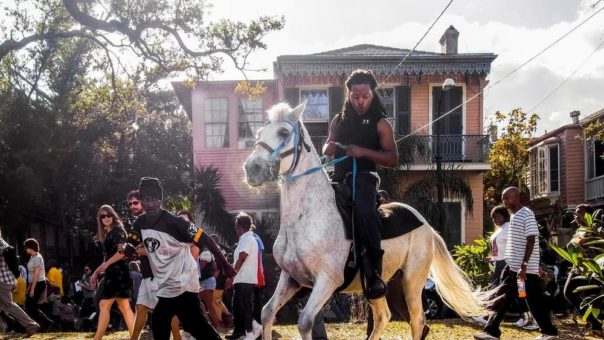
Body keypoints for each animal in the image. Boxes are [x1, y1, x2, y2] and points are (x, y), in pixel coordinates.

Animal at [243, 101, 488, 340]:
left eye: (284, 132)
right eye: (260, 132)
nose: (251, 169)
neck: (308, 217)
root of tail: (427, 226)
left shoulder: (327, 280)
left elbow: (304, 322)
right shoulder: (290, 278)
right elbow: (267, 313)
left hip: (412, 281)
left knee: (418, 321)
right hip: (383, 285)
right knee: (383, 317)